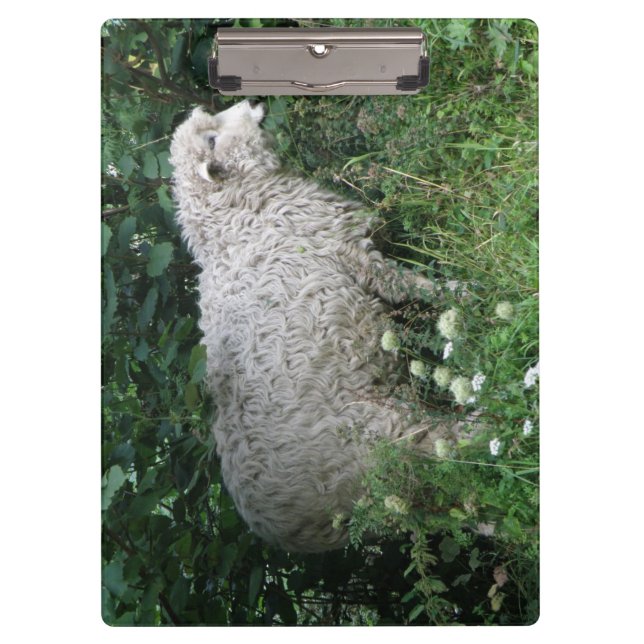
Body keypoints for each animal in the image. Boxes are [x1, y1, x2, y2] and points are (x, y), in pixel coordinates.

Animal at [169, 99, 464, 552]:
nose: (254, 102)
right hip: (386, 434)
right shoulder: (352, 255)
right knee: (457, 454)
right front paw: (464, 291)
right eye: (212, 139)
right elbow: (412, 285)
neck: (231, 219)